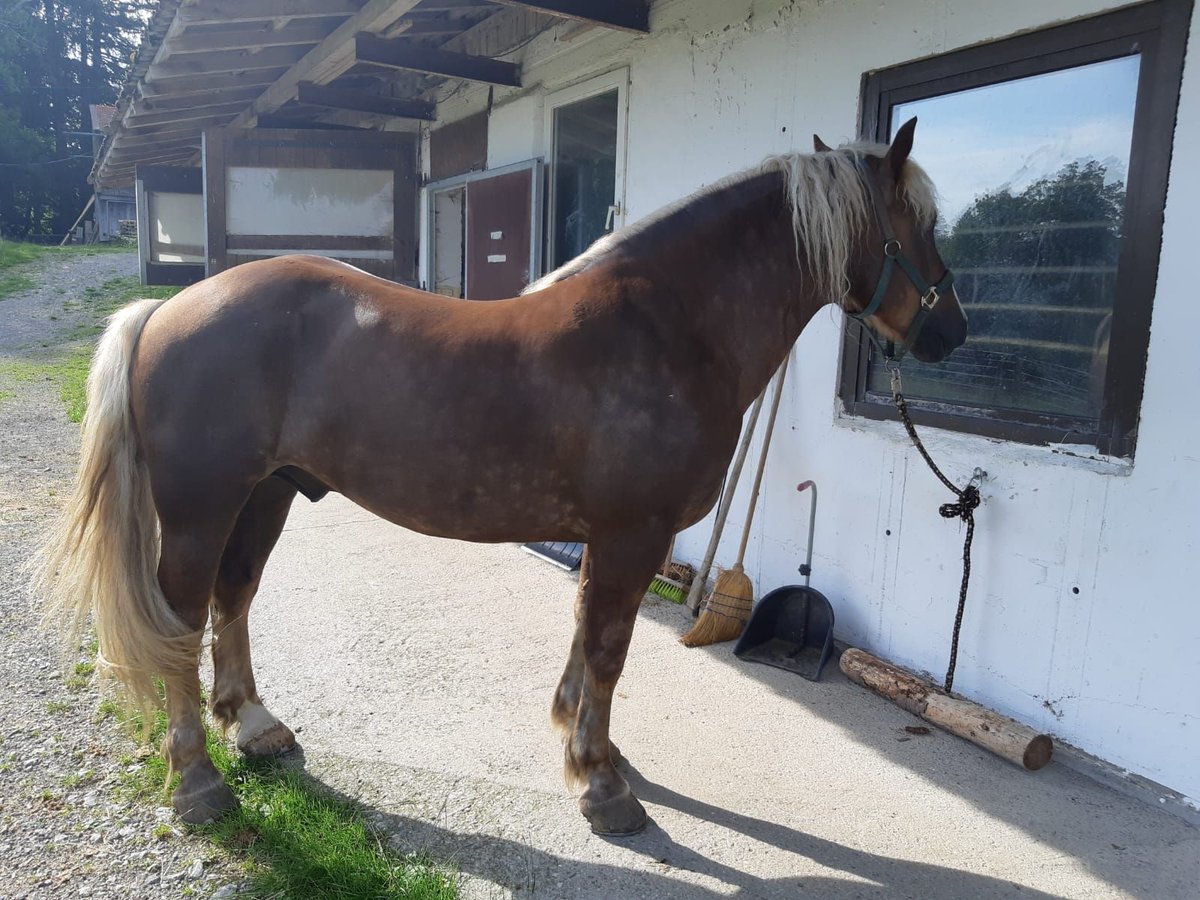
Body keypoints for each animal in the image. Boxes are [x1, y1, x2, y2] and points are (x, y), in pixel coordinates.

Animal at [32, 120, 964, 840]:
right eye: (917, 223)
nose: (951, 332)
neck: (669, 324)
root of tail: (169, 307)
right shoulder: (632, 534)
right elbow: (608, 649)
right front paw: (602, 786)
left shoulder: (609, 539)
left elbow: (588, 644)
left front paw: (591, 752)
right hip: (200, 510)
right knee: (182, 621)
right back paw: (198, 782)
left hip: (266, 495)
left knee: (235, 597)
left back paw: (255, 727)